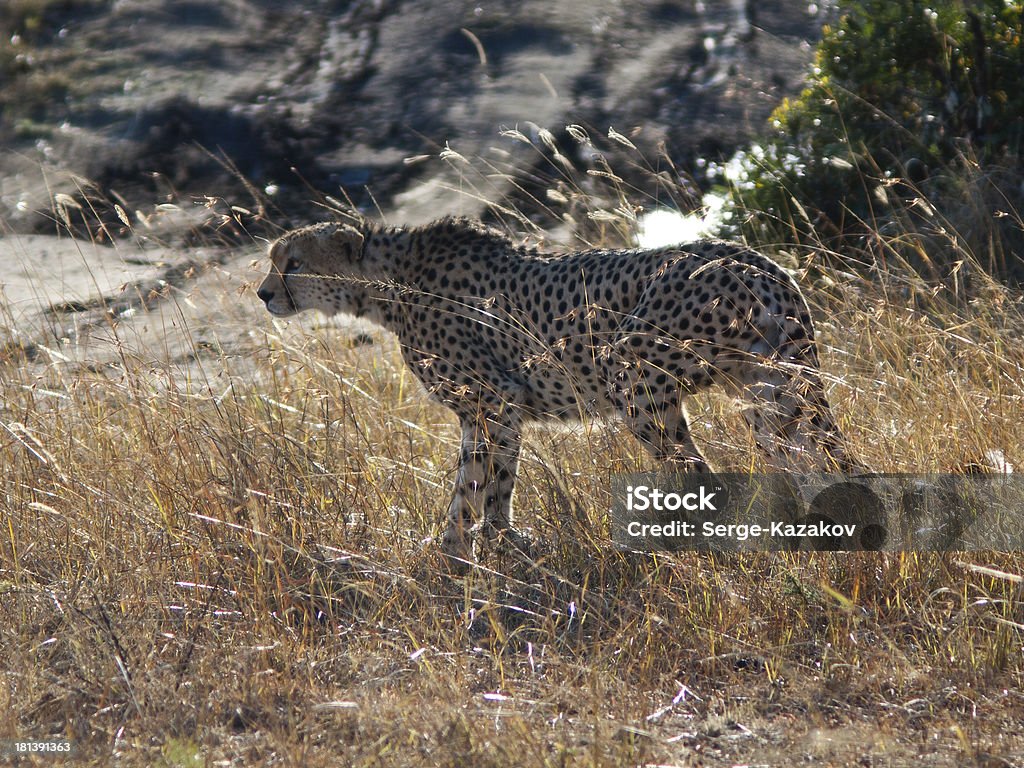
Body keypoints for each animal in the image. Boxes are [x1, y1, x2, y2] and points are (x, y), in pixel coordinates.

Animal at [258, 218, 864, 565]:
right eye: (273, 262)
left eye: (294, 263)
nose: (264, 294)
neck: (390, 282)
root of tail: (758, 261)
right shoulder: (497, 410)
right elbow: (496, 480)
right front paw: (498, 543)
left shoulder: (489, 399)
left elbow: (470, 484)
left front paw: (449, 554)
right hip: (770, 390)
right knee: (809, 462)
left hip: (632, 371)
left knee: (699, 473)